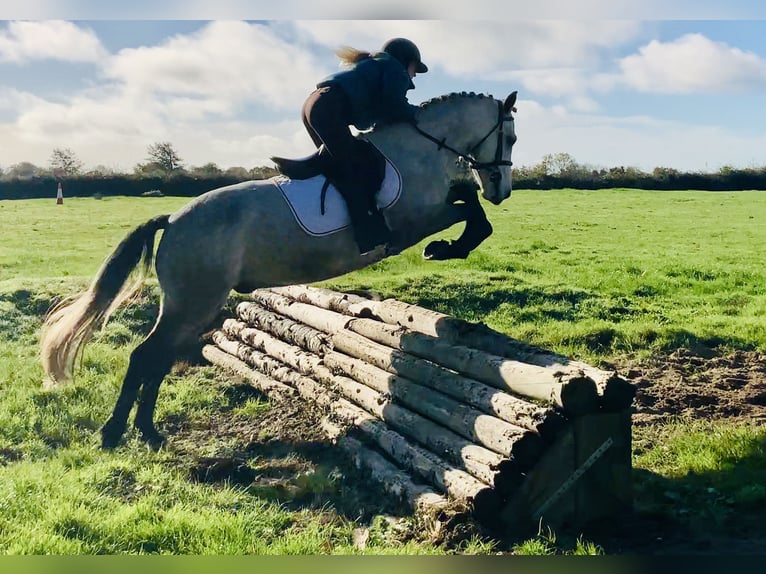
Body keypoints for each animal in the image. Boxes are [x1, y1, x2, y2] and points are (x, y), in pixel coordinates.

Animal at [40, 90, 518, 449]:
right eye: (510, 137)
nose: (502, 191)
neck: (420, 149)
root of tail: (172, 220)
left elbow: (466, 203)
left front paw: (450, 245)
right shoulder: (415, 221)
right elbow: (470, 210)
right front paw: (445, 248)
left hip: (187, 306)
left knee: (157, 359)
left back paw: (146, 433)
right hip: (194, 303)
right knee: (147, 356)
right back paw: (116, 433)